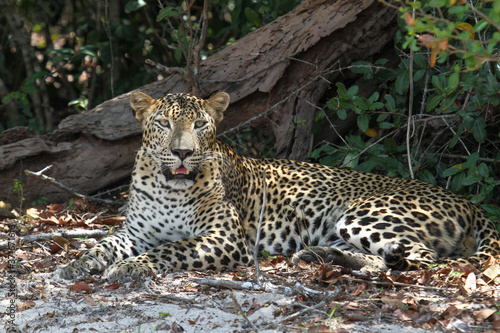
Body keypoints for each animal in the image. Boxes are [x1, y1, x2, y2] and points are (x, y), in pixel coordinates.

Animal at [60, 90, 500, 280]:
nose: (183, 153)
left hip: (363, 215)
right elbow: (103, 245)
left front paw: (129, 268)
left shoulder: (224, 239)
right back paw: (318, 257)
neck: (170, 188)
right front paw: (78, 264)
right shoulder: (136, 232)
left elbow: (171, 249)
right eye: (164, 123)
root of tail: (468, 202)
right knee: (381, 258)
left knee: (425, 258)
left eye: (200, 124)